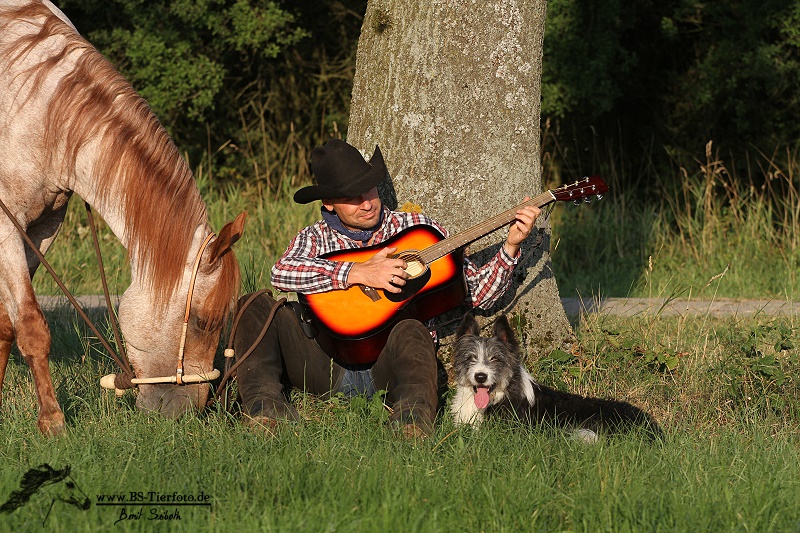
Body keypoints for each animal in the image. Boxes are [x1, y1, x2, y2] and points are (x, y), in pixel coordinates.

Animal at [0, 0, 245, 434]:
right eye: (202, 321)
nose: (188, 413)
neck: (41, 105)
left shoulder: (41, 228)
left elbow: (5, 325)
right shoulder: (5, 228)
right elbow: (30, 326)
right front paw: (53, 421)